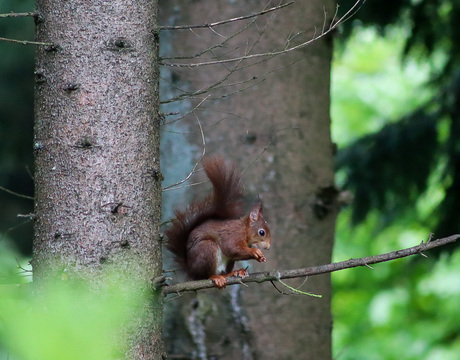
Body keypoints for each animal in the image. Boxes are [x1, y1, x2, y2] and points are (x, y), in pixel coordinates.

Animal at [166, 157, 272, 290]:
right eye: (261, 232)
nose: (268, 247)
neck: (244, 229)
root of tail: (190, 270)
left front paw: (261, 257)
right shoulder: (232, 235)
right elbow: (232, 248)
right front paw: (255, 252)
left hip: (228, 262)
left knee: (224, 272)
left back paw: (234, 273)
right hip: (207, 249)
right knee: (204, 276)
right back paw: (215, 277)